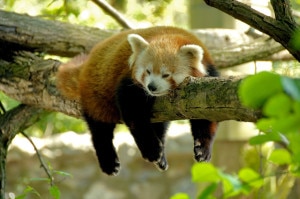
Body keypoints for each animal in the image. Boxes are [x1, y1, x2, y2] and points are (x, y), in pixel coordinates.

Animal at [56, 26, 219, 176]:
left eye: (166, 75)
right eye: (147, 71)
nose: (151, 86)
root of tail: (89, 60)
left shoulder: (204, 86)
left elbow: (205, 118)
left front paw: (203, 149)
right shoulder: (129, 82)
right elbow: (135, 115)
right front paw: (151, 150)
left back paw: (161, 157)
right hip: (96, 92)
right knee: (100, 128)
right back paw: (109, 161)